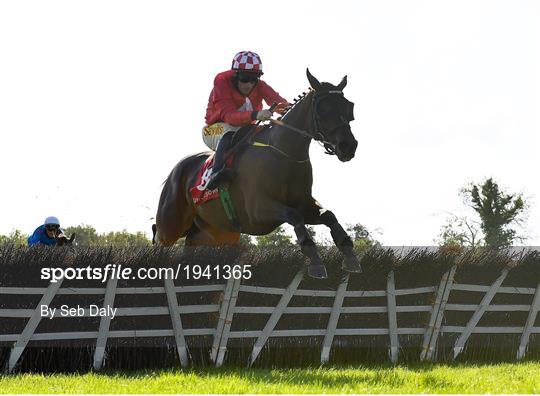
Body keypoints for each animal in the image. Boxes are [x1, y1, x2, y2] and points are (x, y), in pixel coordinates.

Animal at [154, 69, 360, 278]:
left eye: (348, 107)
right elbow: (294, 215)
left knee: (190, 243)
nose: (348, 146)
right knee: (158, 236)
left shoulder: (304, 203)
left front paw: (350, 256)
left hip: (216, 231)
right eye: (323, 109)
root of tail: (174, 172)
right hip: (171, 225)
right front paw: (316, 260)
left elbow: (329, 216)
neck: (282, 153)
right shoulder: (258, 210)